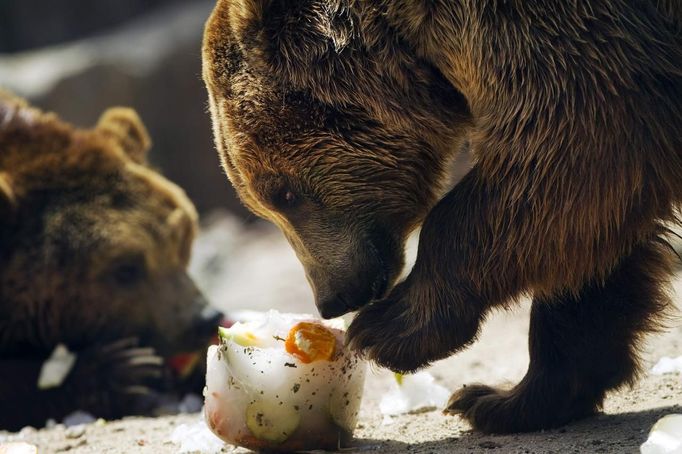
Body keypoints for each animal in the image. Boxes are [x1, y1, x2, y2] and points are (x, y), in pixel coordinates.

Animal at [202, 0, 680, 432]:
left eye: (283, 192)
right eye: (262, 202)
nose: (332, 298)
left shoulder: (545, 37)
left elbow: (572, 144)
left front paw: (388, 330)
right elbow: (592, 247)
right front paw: (512, 400)